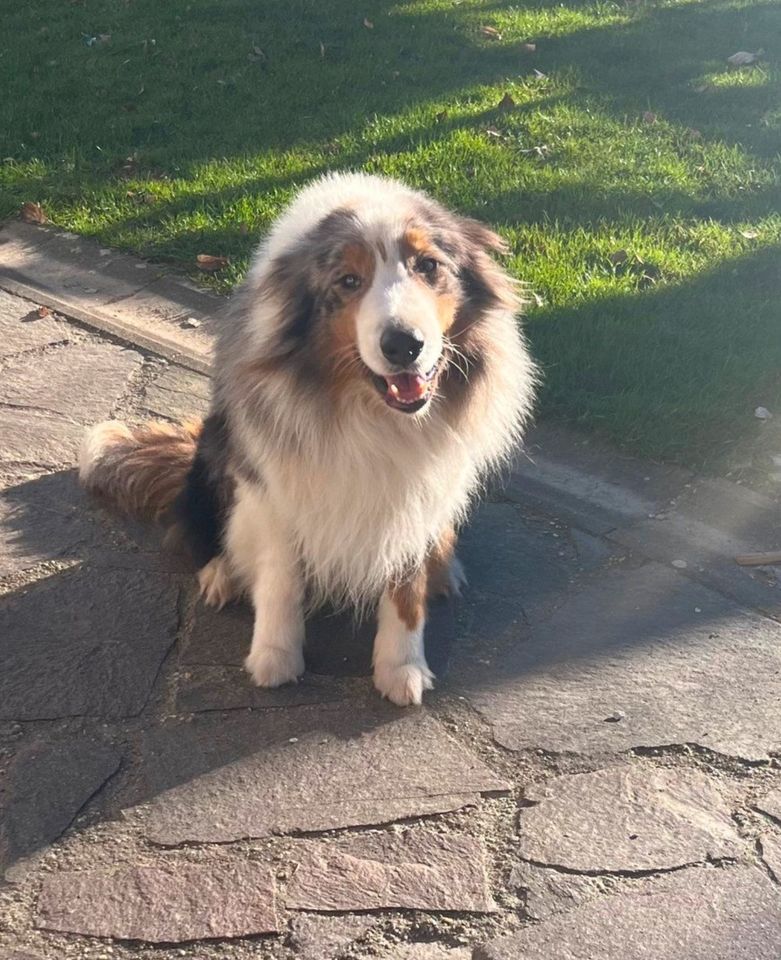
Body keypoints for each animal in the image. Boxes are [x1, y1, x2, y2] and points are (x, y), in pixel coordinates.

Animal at [80, 174, 536, 704]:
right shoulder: (276, 486)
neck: (370, 411)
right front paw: (275, 657)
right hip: (217, 449)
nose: (404, 345)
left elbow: (405, 587)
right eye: (348, 281)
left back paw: (443, 569)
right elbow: (280, 579)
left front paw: (400, 667)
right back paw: (222, 573)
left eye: (428, 266)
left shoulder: (415, 489)